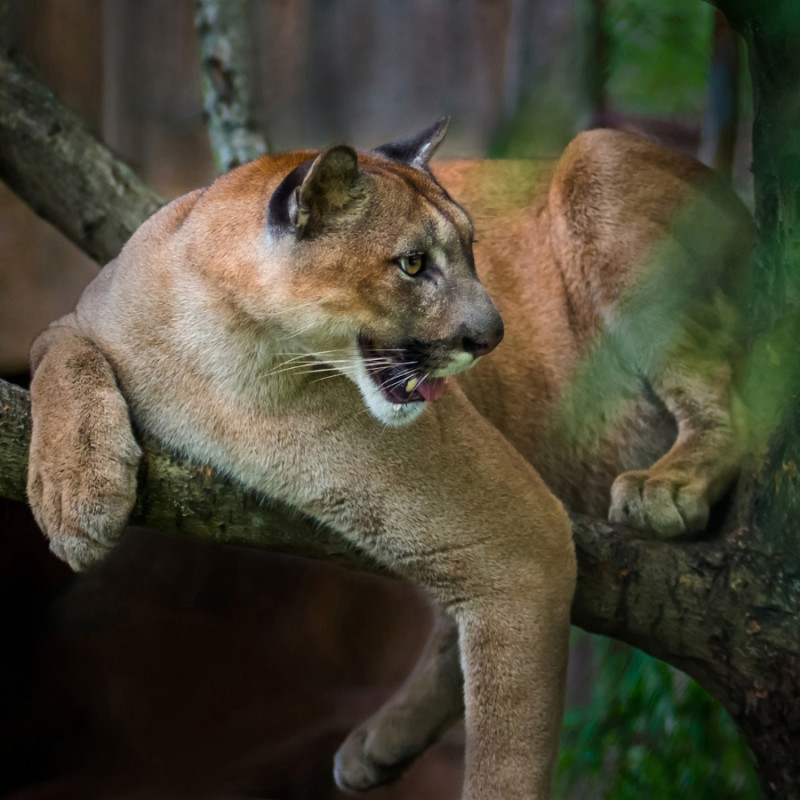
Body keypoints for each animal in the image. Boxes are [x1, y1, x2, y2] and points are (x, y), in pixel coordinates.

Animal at [26, 120, 752, 800]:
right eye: (411, 264)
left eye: (472, 251)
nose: (492, 335)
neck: (236, 356)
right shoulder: (78, 320)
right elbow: (58, 359)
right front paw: (75, 497)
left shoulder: (525, 537)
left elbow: (507, 746)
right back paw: (382, 745)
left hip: (599, 160)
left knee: (728, 400)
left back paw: (668, 486)